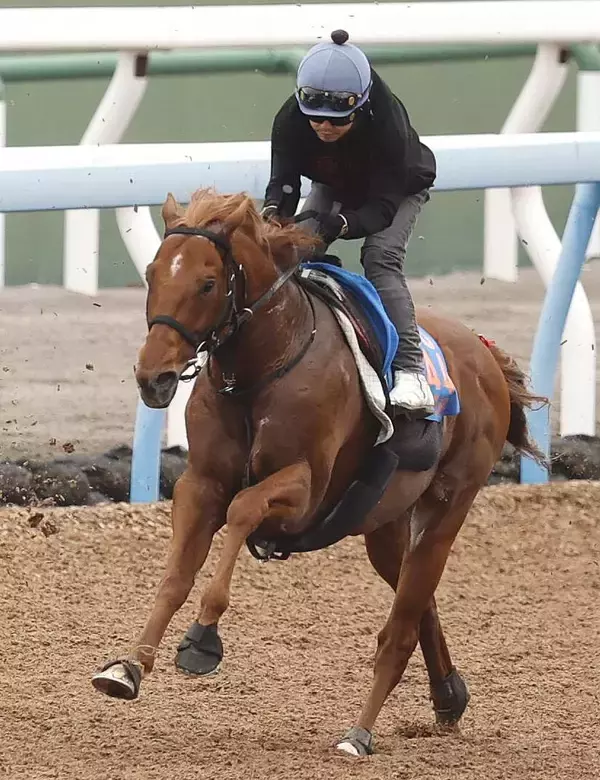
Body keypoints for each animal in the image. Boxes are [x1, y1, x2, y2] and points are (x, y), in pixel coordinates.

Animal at [91, 187, 547, 756]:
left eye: (207, 283)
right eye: (153, 273)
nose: (154, 377)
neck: (263, 371)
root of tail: (484, 353)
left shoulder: (306, 495)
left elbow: (243, 509)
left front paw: (202, 637)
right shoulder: (200, 484)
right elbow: (175, 576)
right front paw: (128, 668)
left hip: (447, 507)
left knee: (400, 626)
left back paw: (359, 734)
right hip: (383, 522)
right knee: (420, 602)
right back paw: (448, 696)